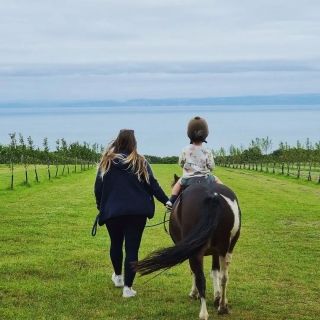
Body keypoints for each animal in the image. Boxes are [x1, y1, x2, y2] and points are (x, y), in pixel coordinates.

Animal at [132, 176, 240, 318]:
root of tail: (212, 196)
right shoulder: (216, 252)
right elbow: (215, 272)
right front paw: (217, 298)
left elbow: (194, 272)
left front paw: (195, 294)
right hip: (227, 248)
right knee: (224, 276)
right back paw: (222, 306)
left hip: (196, 251)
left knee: (201, 278)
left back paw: (203, 313)